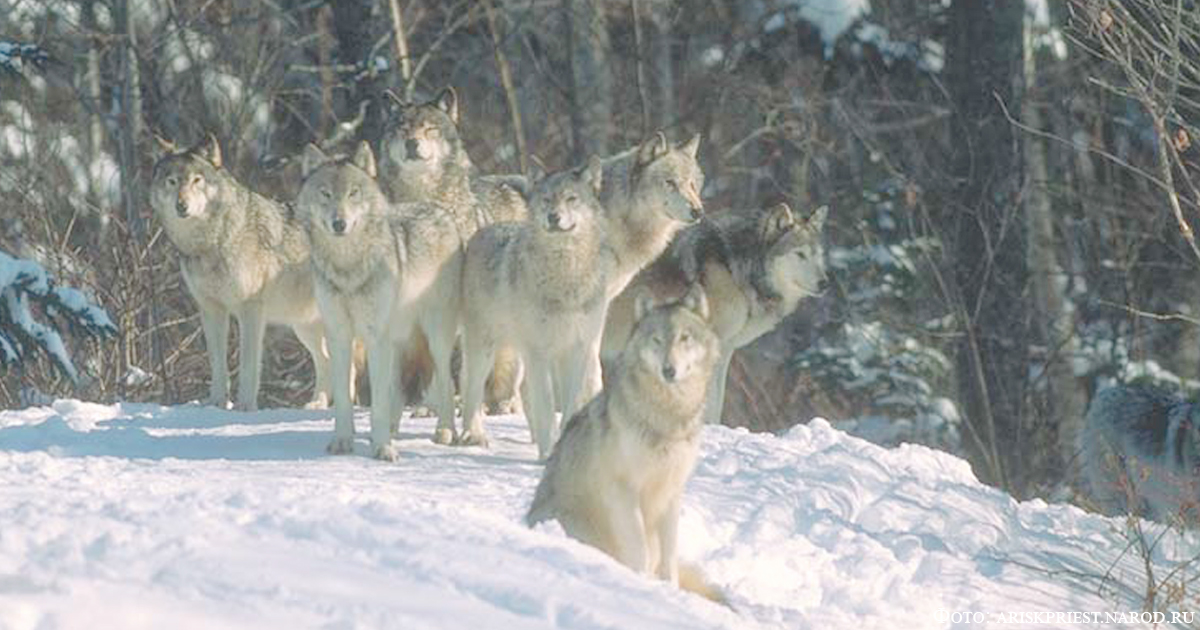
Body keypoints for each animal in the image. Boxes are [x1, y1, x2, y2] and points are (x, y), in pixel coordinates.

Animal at [296, 141, 463, 456]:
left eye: (353, 193)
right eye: (325, 194)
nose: (339, 223)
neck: (348, 268)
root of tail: (442, 212)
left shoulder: (375, 336)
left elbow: (379, 402)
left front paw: (383, 448)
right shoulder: (339, 335)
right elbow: (345, 397)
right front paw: (343, 442)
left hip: (434, 336)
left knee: (446, 382)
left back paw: (445, 432)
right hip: (398, 339)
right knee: (397, 387)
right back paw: (394, 429)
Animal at [458, 157, 619, 456]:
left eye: (571, 198)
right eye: (546, 200)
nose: (553, 216)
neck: (567, 275)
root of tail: (481, 233)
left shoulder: (577, 350)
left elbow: (569, 405)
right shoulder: (540, 353)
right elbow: (546, 406)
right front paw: (546, 454)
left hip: (519, 357)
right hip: (486, 351)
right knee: (470, 388)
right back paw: (474, 436)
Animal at [530, 286, 724, 602]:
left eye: (684, 338)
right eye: (657, 339)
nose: (669, 370)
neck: (667, 417)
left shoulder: (672, 492)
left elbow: (669, 556)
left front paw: (669, 588)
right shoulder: (623, 489)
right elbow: (638, 547)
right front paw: (641, 583)